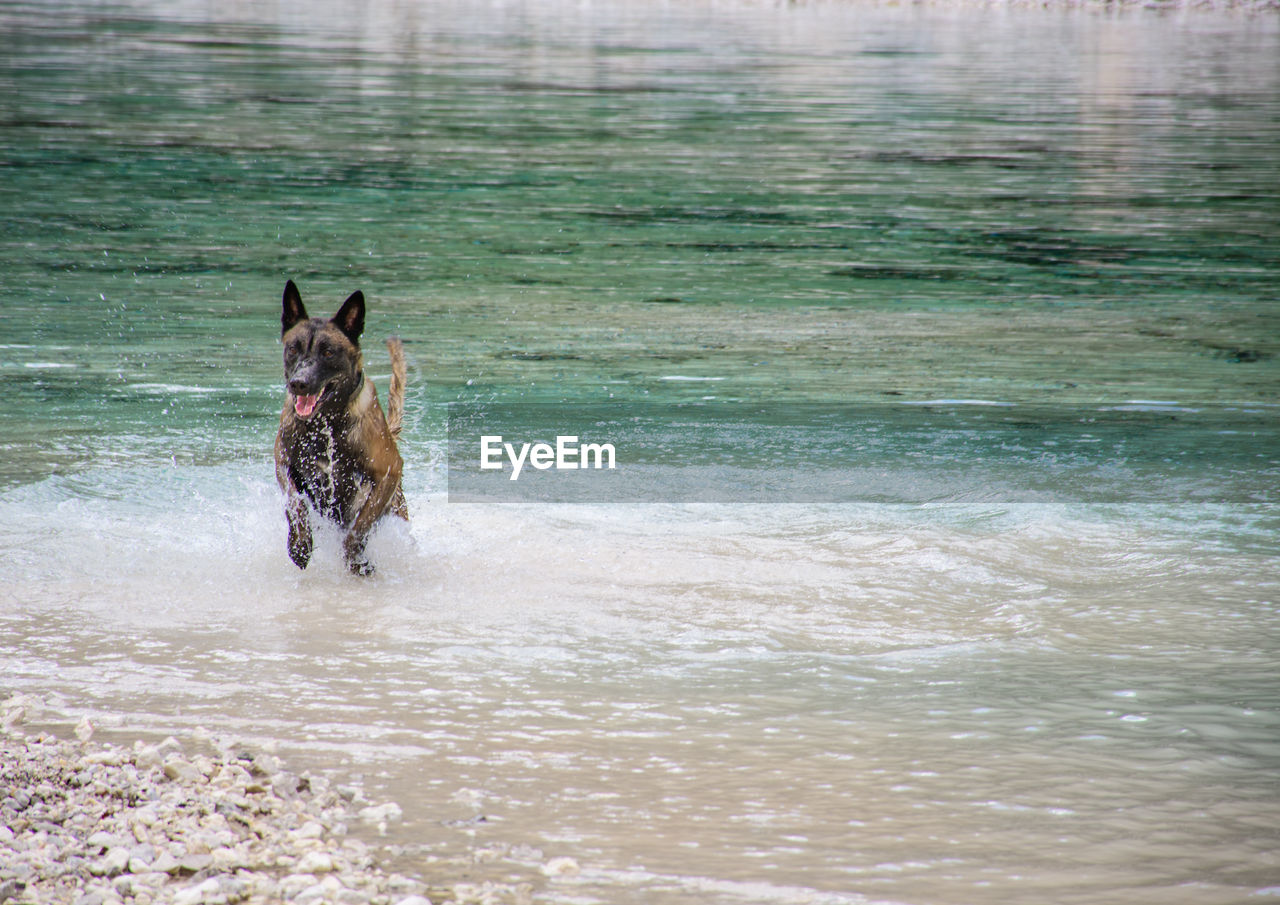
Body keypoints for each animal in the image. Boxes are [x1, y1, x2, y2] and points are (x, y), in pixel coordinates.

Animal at [273, 279, 404, 576]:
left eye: (328, 352)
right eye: (293, 348)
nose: (299, 382)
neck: (326, 422)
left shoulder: (388, 471)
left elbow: (360, 525)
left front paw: (356, 559)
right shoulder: (283, 461)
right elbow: (295, 502)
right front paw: (299, 545)